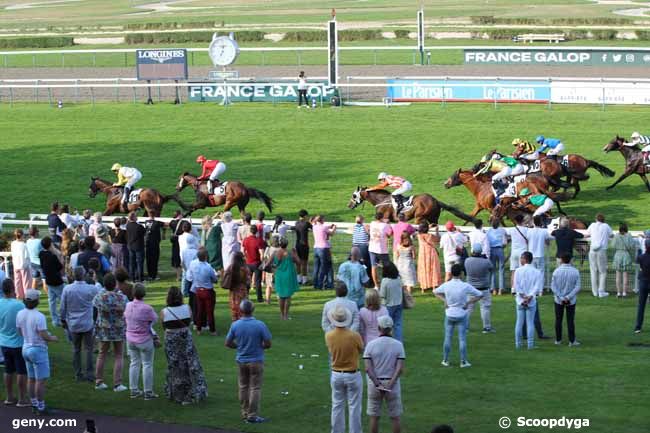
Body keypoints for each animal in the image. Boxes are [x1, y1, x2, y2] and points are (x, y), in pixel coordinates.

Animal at [344, 186, 476, 226]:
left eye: (354, 195)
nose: (349, 205)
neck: (381, 200)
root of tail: (435, 200)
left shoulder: (385, 218)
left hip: (420, 217)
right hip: (433, 218)